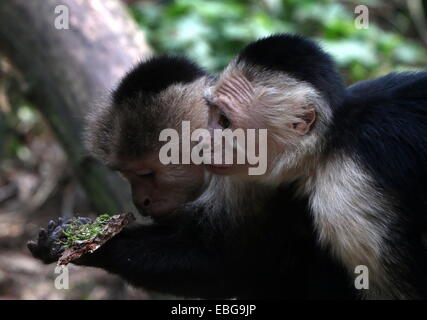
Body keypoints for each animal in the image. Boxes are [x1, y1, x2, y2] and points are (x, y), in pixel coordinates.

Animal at [27, 54, 358, 300]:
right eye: (126, 174)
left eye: (146, 173)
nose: (140, 200)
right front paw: (71, 232)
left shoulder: (243, 176)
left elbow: (235, 268)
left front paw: (100, 249)